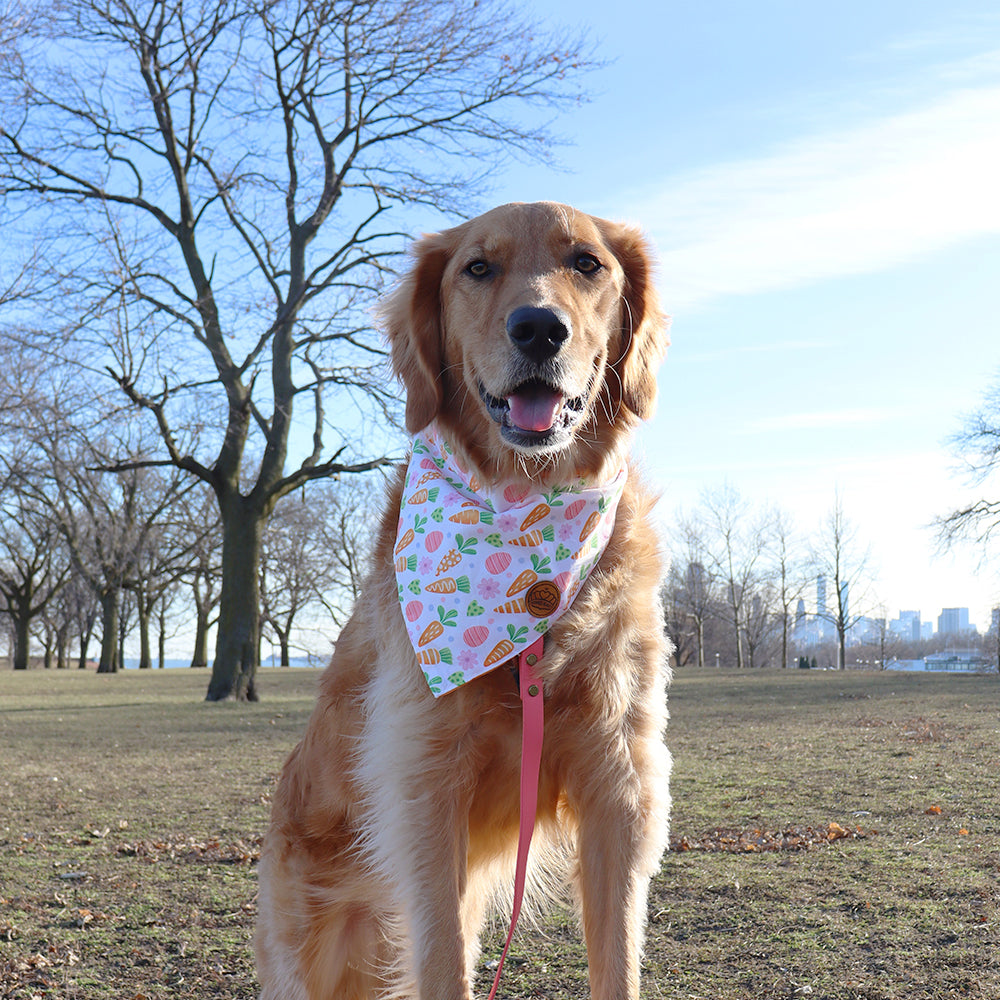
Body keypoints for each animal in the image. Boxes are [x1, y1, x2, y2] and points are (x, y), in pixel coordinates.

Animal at [256, 199, 672, 996]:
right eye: (477, 268)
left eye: (587, 263)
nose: (539, 328)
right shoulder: (425, 784)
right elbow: (442, 962)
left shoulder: (619, 779)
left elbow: (618, 962)